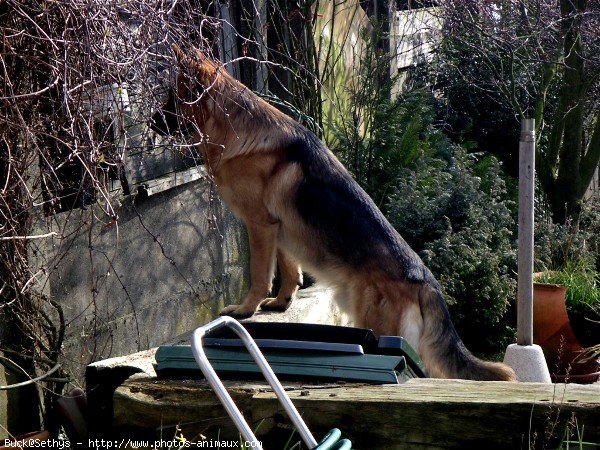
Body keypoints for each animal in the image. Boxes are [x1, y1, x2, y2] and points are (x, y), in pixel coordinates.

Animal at [154, 45, 516, 382]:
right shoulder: (280, 228)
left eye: (174, 96)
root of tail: (425, 279)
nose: (152, 124)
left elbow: (260, 274)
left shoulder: (259, 225)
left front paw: (245, 309)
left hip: (378, 325)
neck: (233, 122)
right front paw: (282, 302)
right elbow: (290, 269)